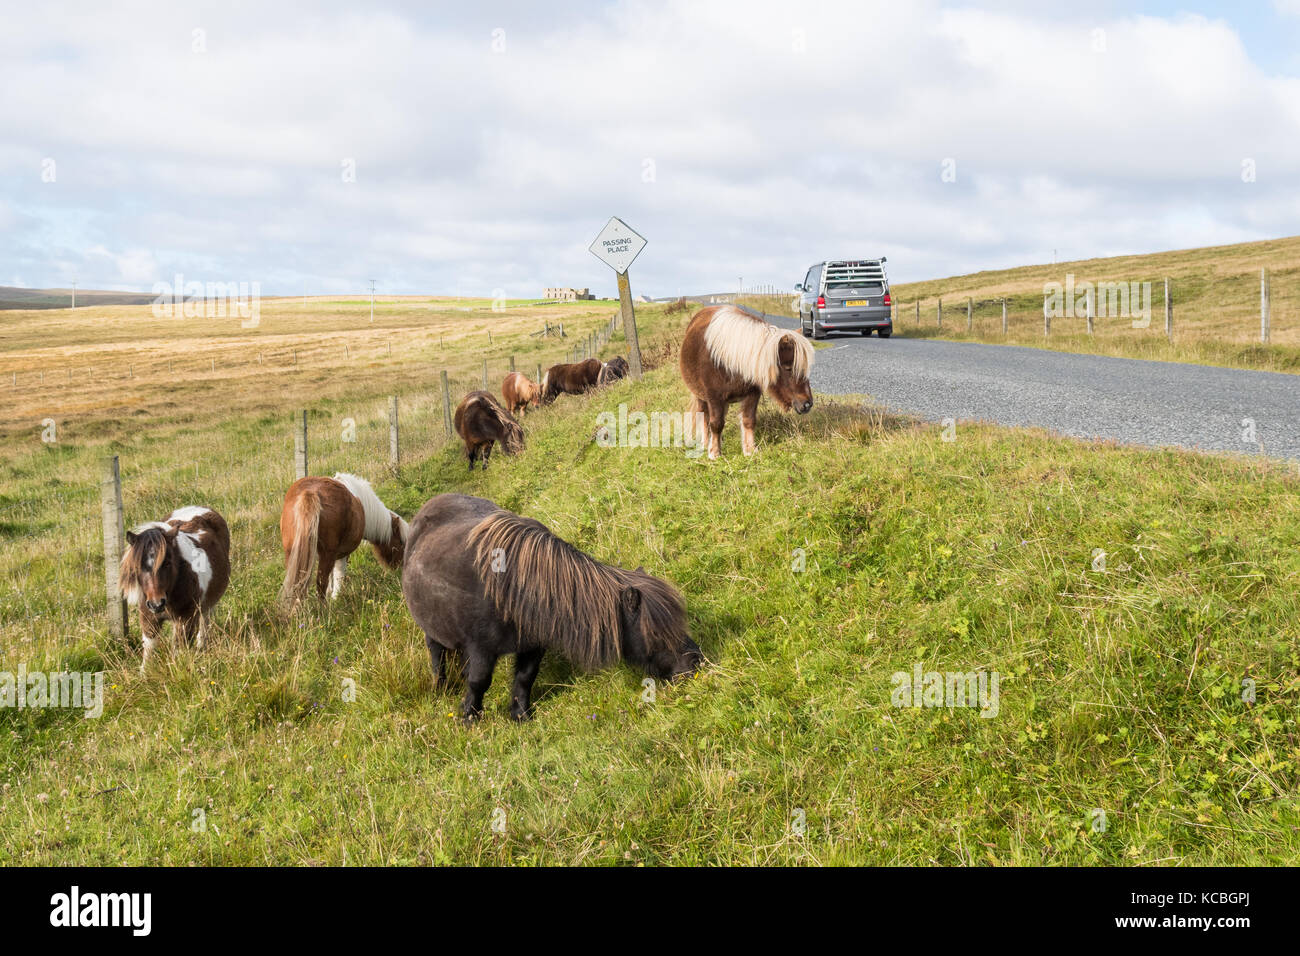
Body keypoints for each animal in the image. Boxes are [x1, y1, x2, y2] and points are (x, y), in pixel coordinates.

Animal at [118, 506, 231, 671]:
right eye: (138, 566)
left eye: (167, 563)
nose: (156, 604)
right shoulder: (149, 618)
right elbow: (149, 650)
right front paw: (144, 674)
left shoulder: (185, 620)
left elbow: (178, 651)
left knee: (205, 619)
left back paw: (201, 645)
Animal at [278, 472, 408, 609]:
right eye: (401, 542)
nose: (401, 568)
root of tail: (310, 493)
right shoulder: (341, 554)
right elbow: (338, 575)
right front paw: (335, 597)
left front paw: (331, 594)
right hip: (326, 555)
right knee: (321, 582)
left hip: (292, 555)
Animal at [401, 493, 702, 721]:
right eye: (656, 633)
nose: (695, 661)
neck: (513, 589)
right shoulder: (482, 648)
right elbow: (479, 681)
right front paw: (470, 717)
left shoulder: (533, 646)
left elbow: (525, 678)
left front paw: (520, 715)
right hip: (433, 632)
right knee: (436, 656)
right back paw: (440, 687)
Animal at [679, 305, 815, 459]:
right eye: (788, 368)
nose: (807, 404)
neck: (730, 361)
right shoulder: (714, 397)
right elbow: (716, 423)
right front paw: (714, 453)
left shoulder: (752, 395)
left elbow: (749, 421)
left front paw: (750, 450)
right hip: (701, 397)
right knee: (705, 417)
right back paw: (705, 443)